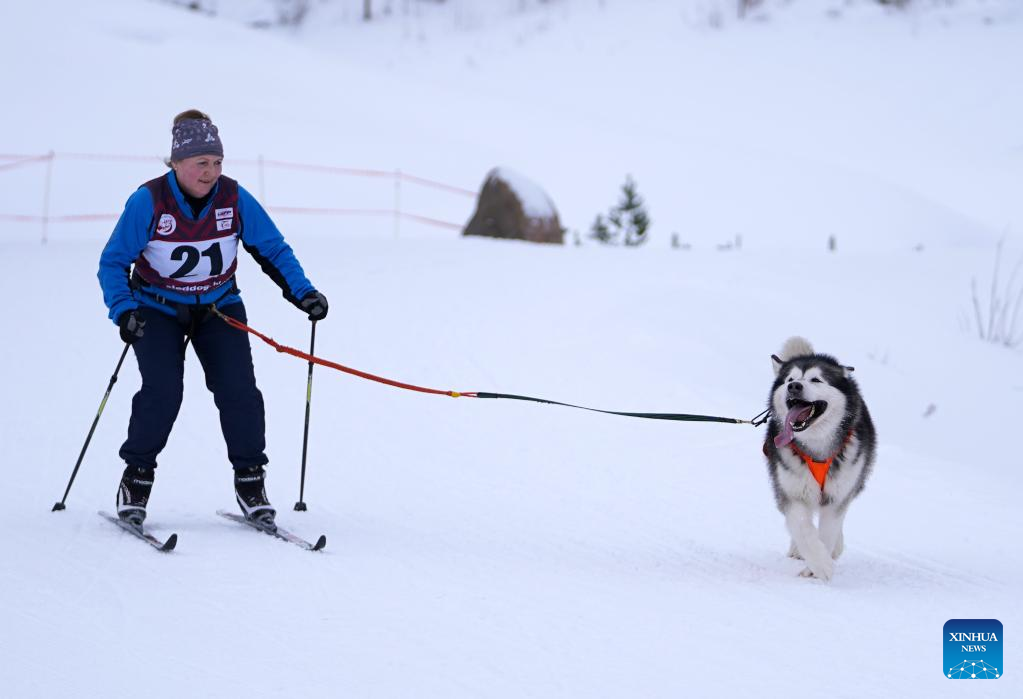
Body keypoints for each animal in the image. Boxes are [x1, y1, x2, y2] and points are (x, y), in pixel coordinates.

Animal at [765, 337, 875, 581]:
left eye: (816, 379)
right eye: (790, 379)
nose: (794, 386)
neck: (816, 447)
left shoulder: (838, 495)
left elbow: (829, 530)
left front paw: (819, 564)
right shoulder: (791, 492)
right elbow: (802, 527)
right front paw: (820, 563)